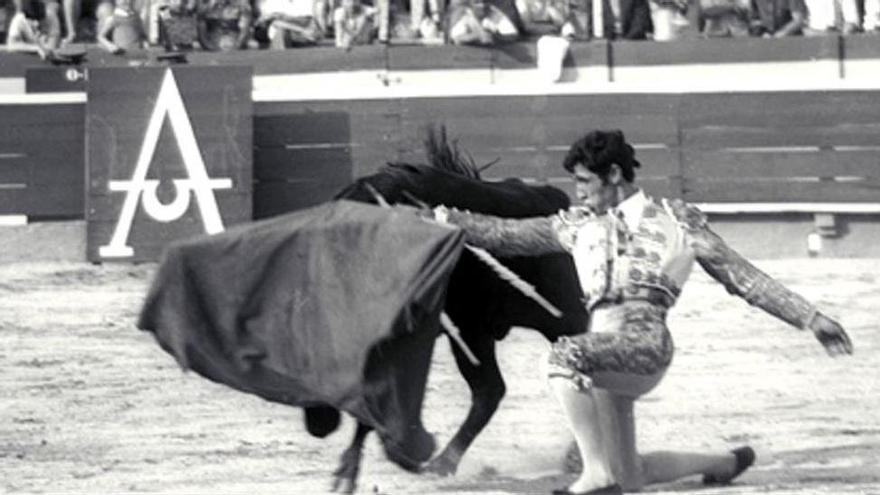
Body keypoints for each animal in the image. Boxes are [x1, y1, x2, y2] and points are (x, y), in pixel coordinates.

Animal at [320, 164, 588, 492]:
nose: (322, 425)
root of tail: (551, 198)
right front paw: (352, 469)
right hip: (477, 332)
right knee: (490, 390)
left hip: (557, 317)